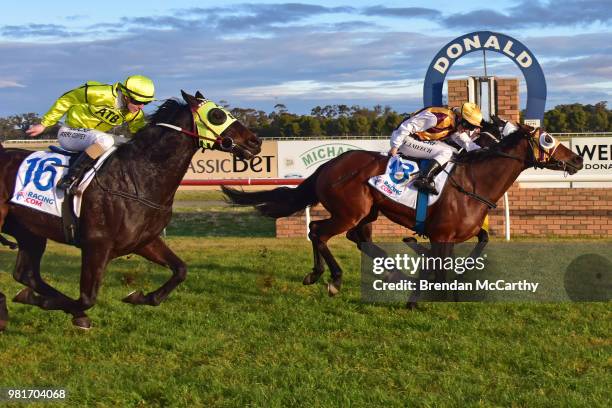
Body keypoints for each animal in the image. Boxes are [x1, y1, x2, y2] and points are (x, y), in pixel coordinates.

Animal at [0, 89, 260, 328]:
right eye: (217, 115)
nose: (254, 142)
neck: (136, 178)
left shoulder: (144, 241)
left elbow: (180, 270)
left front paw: (139, 296)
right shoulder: (97, 244)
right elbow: (87, 298)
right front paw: (49, 305)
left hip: (30, 231)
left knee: (26, 274)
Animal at [224, 120, 584, 302]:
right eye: (548, 139)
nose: (578, 158)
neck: (475, 181)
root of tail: (329, 164)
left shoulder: (461, 233)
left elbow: (478, 244)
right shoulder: (441, 234)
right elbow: (441, 270)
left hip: (367, 213)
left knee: (357, 238)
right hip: (349, 211)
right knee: (319, 232)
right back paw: (332, 279)